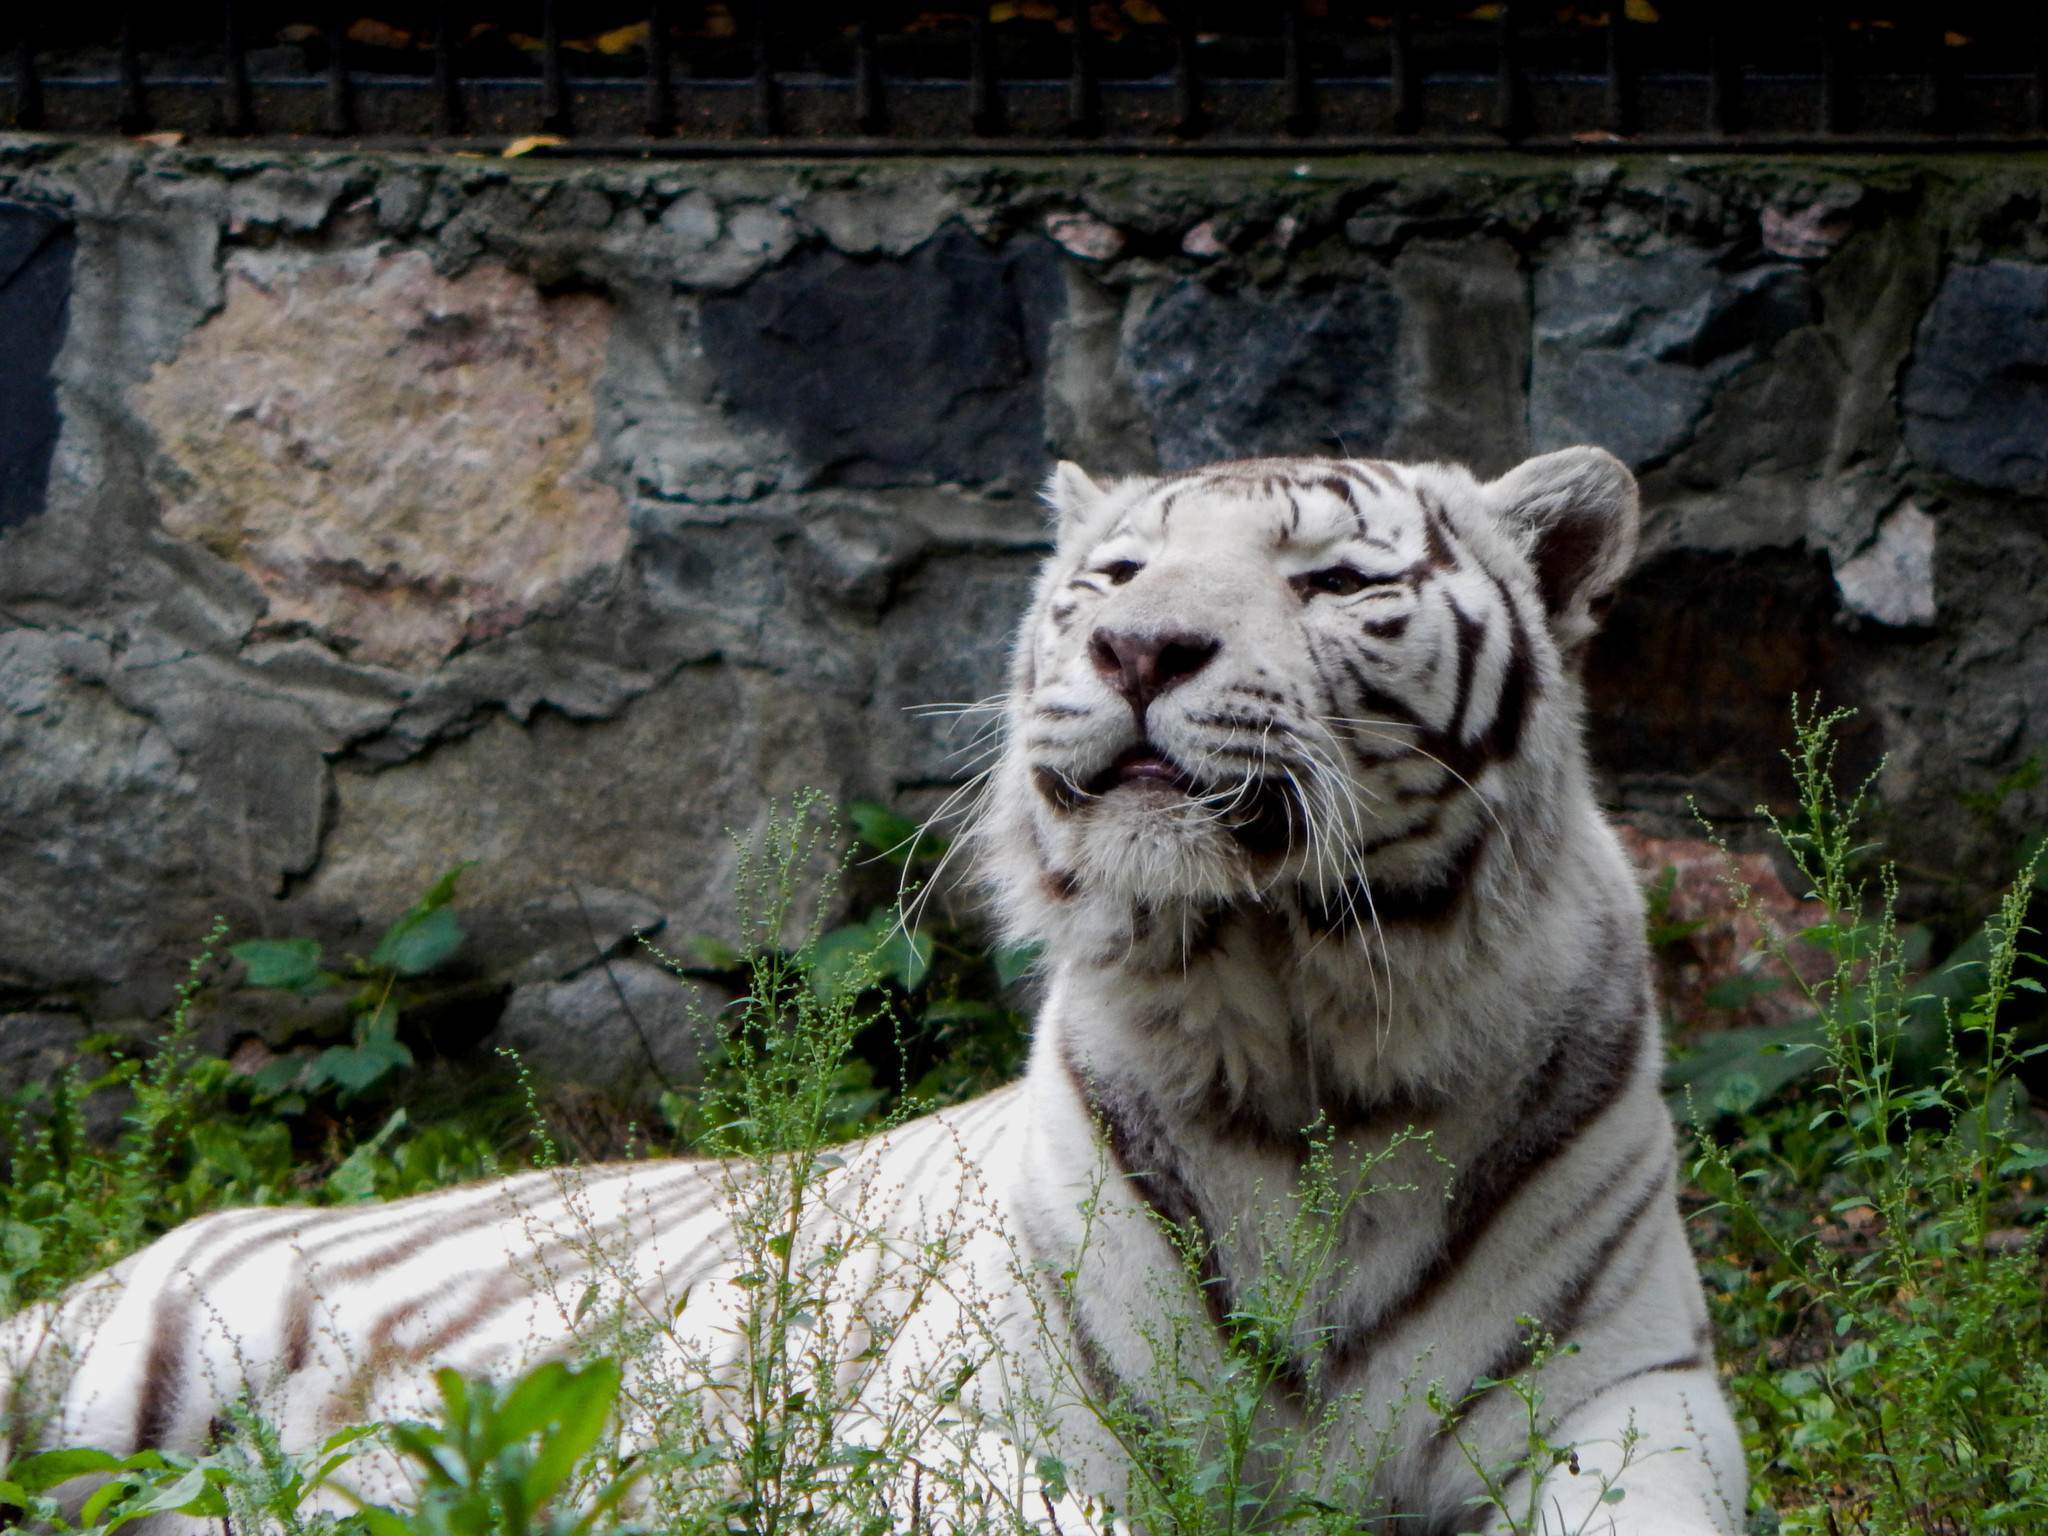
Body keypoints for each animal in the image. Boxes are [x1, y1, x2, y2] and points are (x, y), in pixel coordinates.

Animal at [8, 450, 1744, 1531]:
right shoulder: (965, 1422)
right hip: (84, 1382)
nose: (1136, 649)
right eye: (1117, 570)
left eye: (1327, 581)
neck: (1307, 1023)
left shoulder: (1632, 1398)